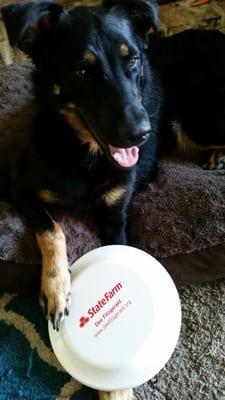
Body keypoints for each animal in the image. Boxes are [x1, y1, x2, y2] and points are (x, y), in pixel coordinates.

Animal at [2, 1, 225, 398]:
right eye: (82, 70)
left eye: (132, 59)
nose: (142, 134)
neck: (85, 156)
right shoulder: (20, 190)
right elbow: (53, 229)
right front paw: (57, 288)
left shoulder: (116, 218)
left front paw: (117, 389)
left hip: (200, 119)